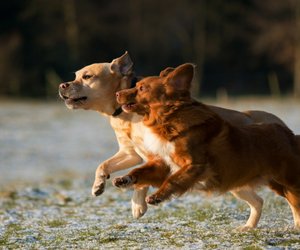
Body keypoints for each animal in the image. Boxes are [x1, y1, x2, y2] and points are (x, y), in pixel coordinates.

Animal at [114, 63, 300, 229]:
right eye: (136, 85)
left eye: (142, 88)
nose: (117, 93)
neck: (168, 120)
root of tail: (290, 135)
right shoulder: (164, 163)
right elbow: (140, 171)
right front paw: (124, 179)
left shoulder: (196, 165)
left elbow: (173, 180)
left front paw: (157, 196)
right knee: (262, 201)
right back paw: (249, 227)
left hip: (287, 181)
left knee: (294, 203)